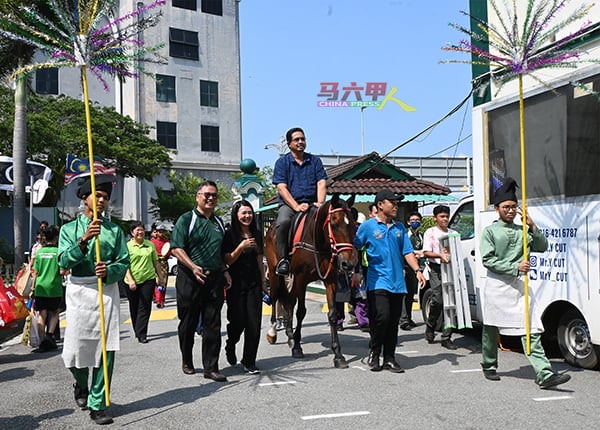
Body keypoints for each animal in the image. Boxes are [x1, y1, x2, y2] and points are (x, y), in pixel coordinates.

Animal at [264, 193, 356, 368]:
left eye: (353, 225)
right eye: (334, 224)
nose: (349, 263)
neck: (319, 242)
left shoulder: (330, 280)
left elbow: (332, 314)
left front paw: (338, 355)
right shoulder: (301, 279)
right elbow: (301, 311)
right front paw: (297, 348)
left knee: (288, 300)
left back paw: (289, 333)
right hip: (274, 273)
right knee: (275, 297)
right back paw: (273, 332)